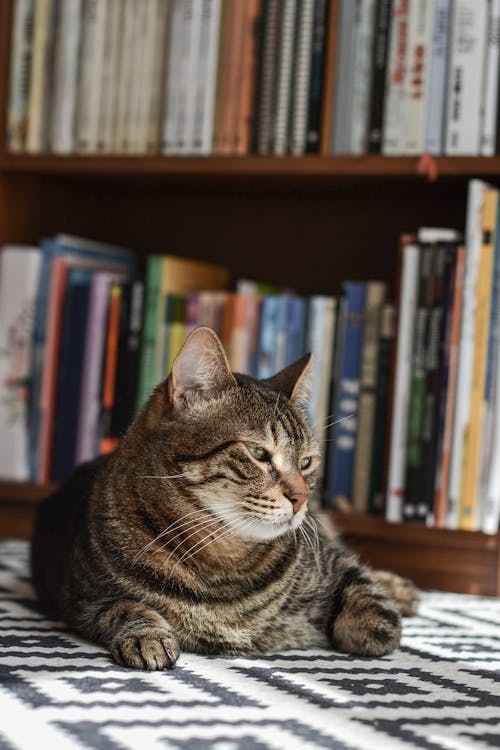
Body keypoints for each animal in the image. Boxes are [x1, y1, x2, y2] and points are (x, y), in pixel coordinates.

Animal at [31, 326, 418, 672]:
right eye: (258, 453)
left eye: (306, 462)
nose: (301, 497)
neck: (223, 563)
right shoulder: (81, 597)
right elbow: (125, 607)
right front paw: (148, 636)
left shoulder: (334, 561)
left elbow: (375, 616)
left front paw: (378, 611)